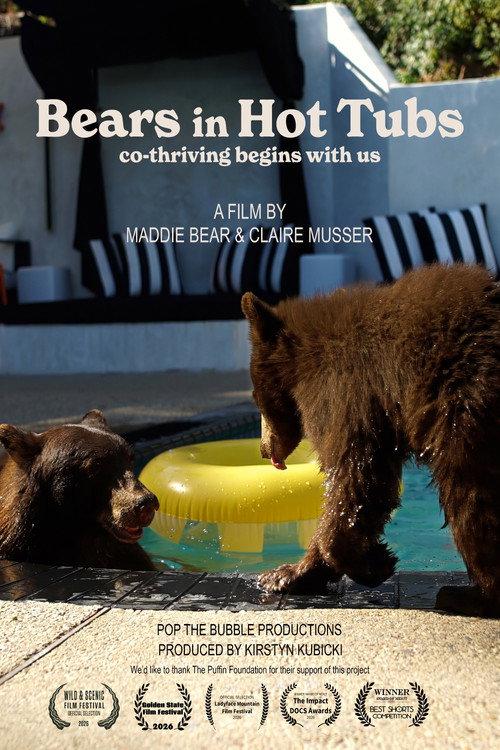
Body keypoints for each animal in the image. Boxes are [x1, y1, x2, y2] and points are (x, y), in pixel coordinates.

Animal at [242, 263, 500, 616]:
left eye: (256, 398)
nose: (263, 449)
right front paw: (288, 574)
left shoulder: (344, 389)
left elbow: (355, 473)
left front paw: (374, 562)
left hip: (466, 403)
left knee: (468, 491)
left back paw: (471, 594)